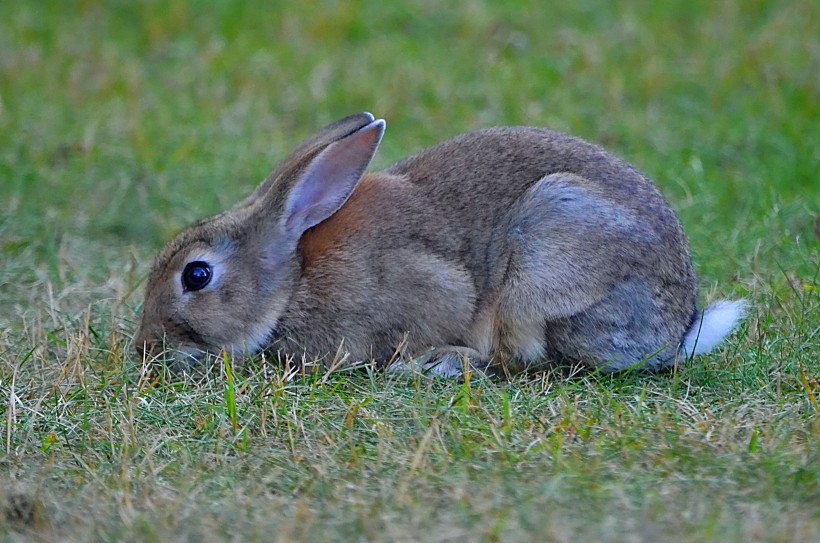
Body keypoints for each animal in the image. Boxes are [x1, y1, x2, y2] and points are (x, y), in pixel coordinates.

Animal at [136, 110, 748, 374]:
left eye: (196, 275)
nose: (146, 346)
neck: (291, 282)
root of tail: (677, 329)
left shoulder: (430, 287)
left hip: (546, 257)